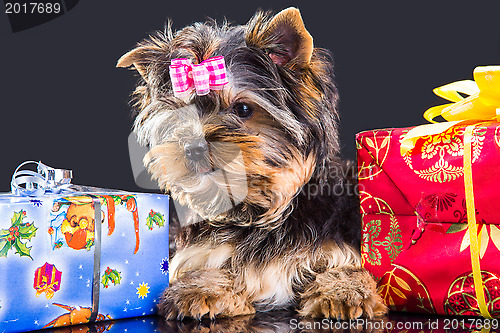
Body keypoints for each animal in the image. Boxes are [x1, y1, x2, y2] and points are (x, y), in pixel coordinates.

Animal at [118, 7, 386, 320]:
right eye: (181, 116)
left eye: (243, 109)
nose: (193, 148)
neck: (259, 212)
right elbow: (212, 264)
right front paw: (202, 288)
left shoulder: (337, 244)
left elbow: (347, 267)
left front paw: (343, 292)